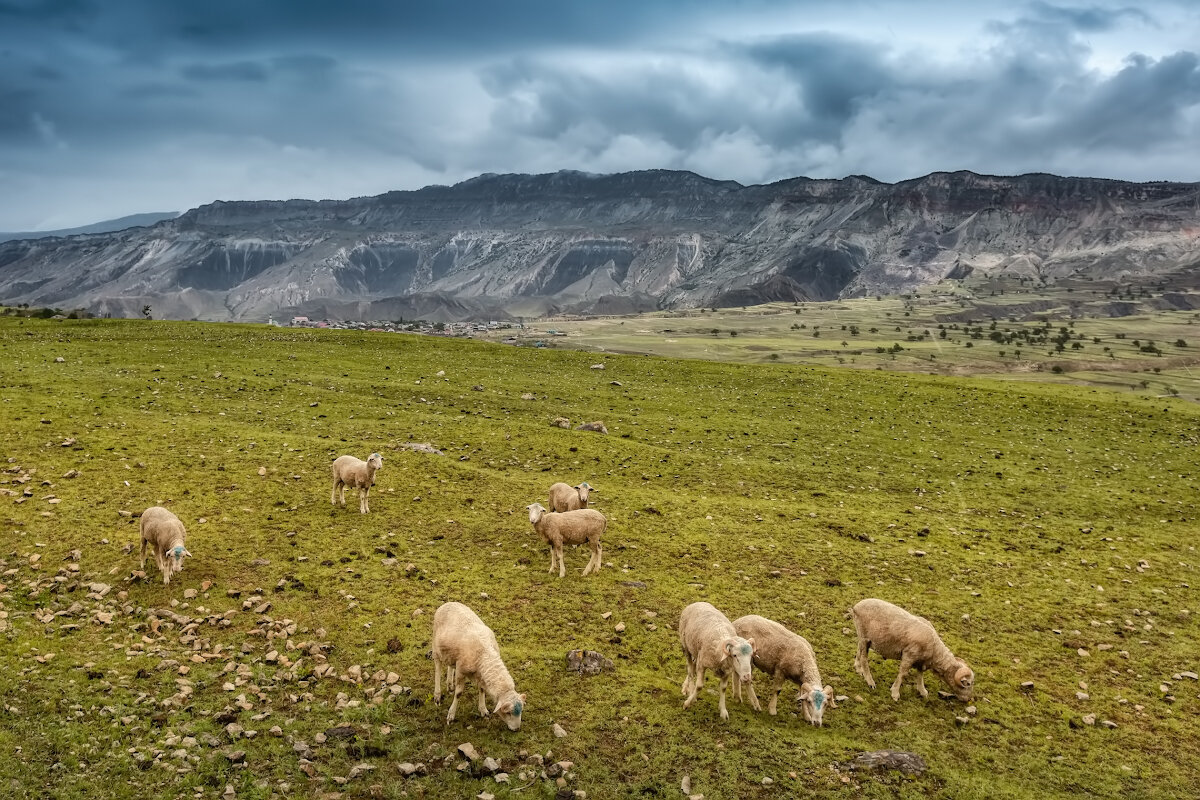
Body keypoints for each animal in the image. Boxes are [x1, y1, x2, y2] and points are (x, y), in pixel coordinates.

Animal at [432, 599, 525, 734]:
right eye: (508, 713)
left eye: (521, 711)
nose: (517, 729)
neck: (485, 654)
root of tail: (448, 603)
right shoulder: (461, 671)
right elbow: (459, 693)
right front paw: (451, 715)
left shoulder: (480, 674)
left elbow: (482, 689)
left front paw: (483, 709)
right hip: (436, 647)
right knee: (438, 668)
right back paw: (437, 695)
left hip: (452, 654)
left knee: (450, 665)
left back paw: (449, 685)